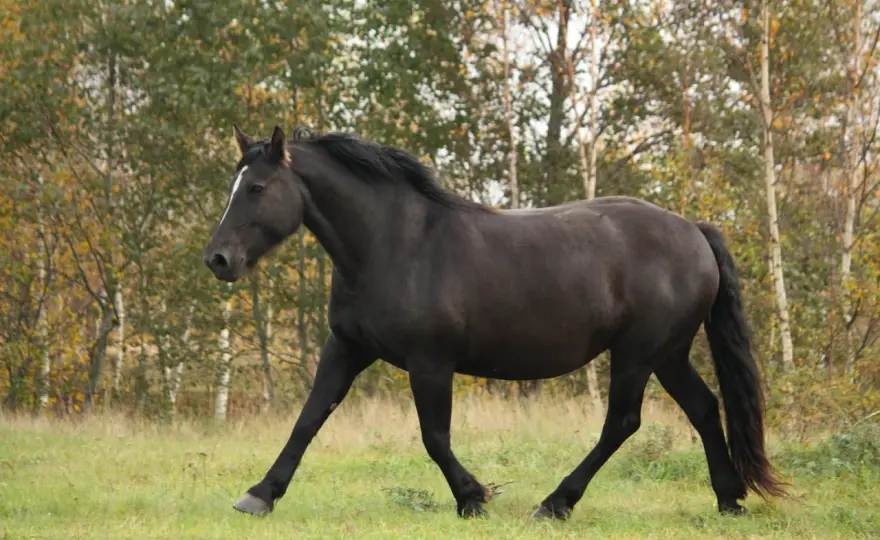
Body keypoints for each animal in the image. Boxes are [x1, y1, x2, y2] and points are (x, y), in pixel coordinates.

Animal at [202, 124, 786, 520]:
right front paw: (260, 494)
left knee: (622, 423)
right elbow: (308, 419)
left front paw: (473, 497)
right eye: (236, 185)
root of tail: (693, 230)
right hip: (668, 354)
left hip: (638, 354)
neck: (394, 244)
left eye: (257, 189)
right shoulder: (345, 348)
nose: (218, 260)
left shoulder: (430, 363)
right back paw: (729, 498)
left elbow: (434, 436)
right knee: (704, 408)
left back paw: (555, 503)